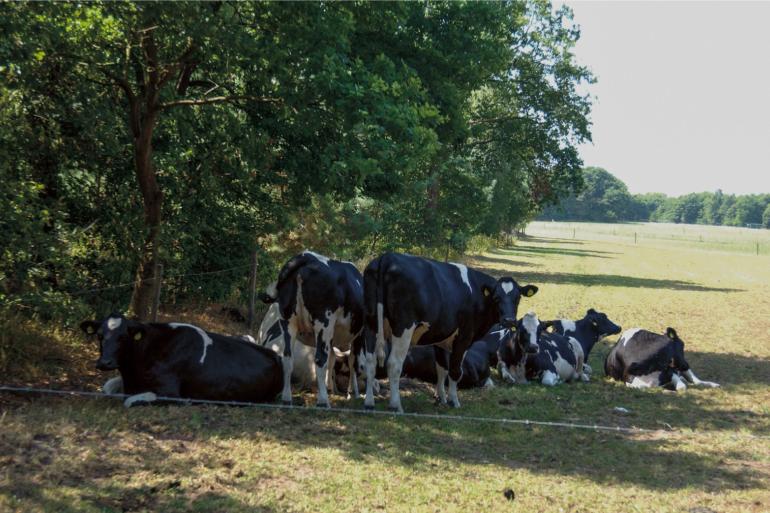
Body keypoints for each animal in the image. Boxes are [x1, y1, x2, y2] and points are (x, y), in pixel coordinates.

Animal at [79, 310, 284, 406]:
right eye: (99, 335)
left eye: (123, 336)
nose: (104, 362)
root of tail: (273, 354)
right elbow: (106, 388)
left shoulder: (169, 392)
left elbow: (130, 402)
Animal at [258, 250, 364, 406]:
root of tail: (306, 256)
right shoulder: (359, 333)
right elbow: (351, 361)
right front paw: (352, 392)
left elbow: (332, 359)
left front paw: (331, 388)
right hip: (324, 321)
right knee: (320, 360)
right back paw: (323, 401)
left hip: (288, 322)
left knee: (288, 358)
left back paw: (287, 398)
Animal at [358, 252, 536, 412]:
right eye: (496, 297)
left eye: (517, 298)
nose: (509, 320)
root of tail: (387, 257)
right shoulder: (464, 337)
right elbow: (455, 371)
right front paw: (453, 401)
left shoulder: (440, 338)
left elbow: (442, 369)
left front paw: (441, 398)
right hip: (403, 327)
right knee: (394, 363)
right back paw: (395, 405)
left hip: (371, 323)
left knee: (370, 361)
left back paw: (369, 403)